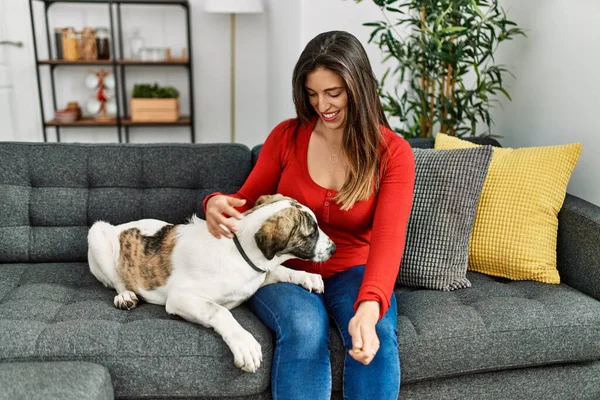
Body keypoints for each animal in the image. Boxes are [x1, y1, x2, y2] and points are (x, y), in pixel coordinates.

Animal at [86, 194, 336, 372]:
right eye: (311, 233)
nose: (334, 248)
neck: (241, 253)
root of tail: (119, 227)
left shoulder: (259, 275)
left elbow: (281, 270)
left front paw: (307, 276)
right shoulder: (180, 297)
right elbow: (219, 311)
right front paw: (244, 343)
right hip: (97, 233)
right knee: (117, 281)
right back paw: (125, 296)